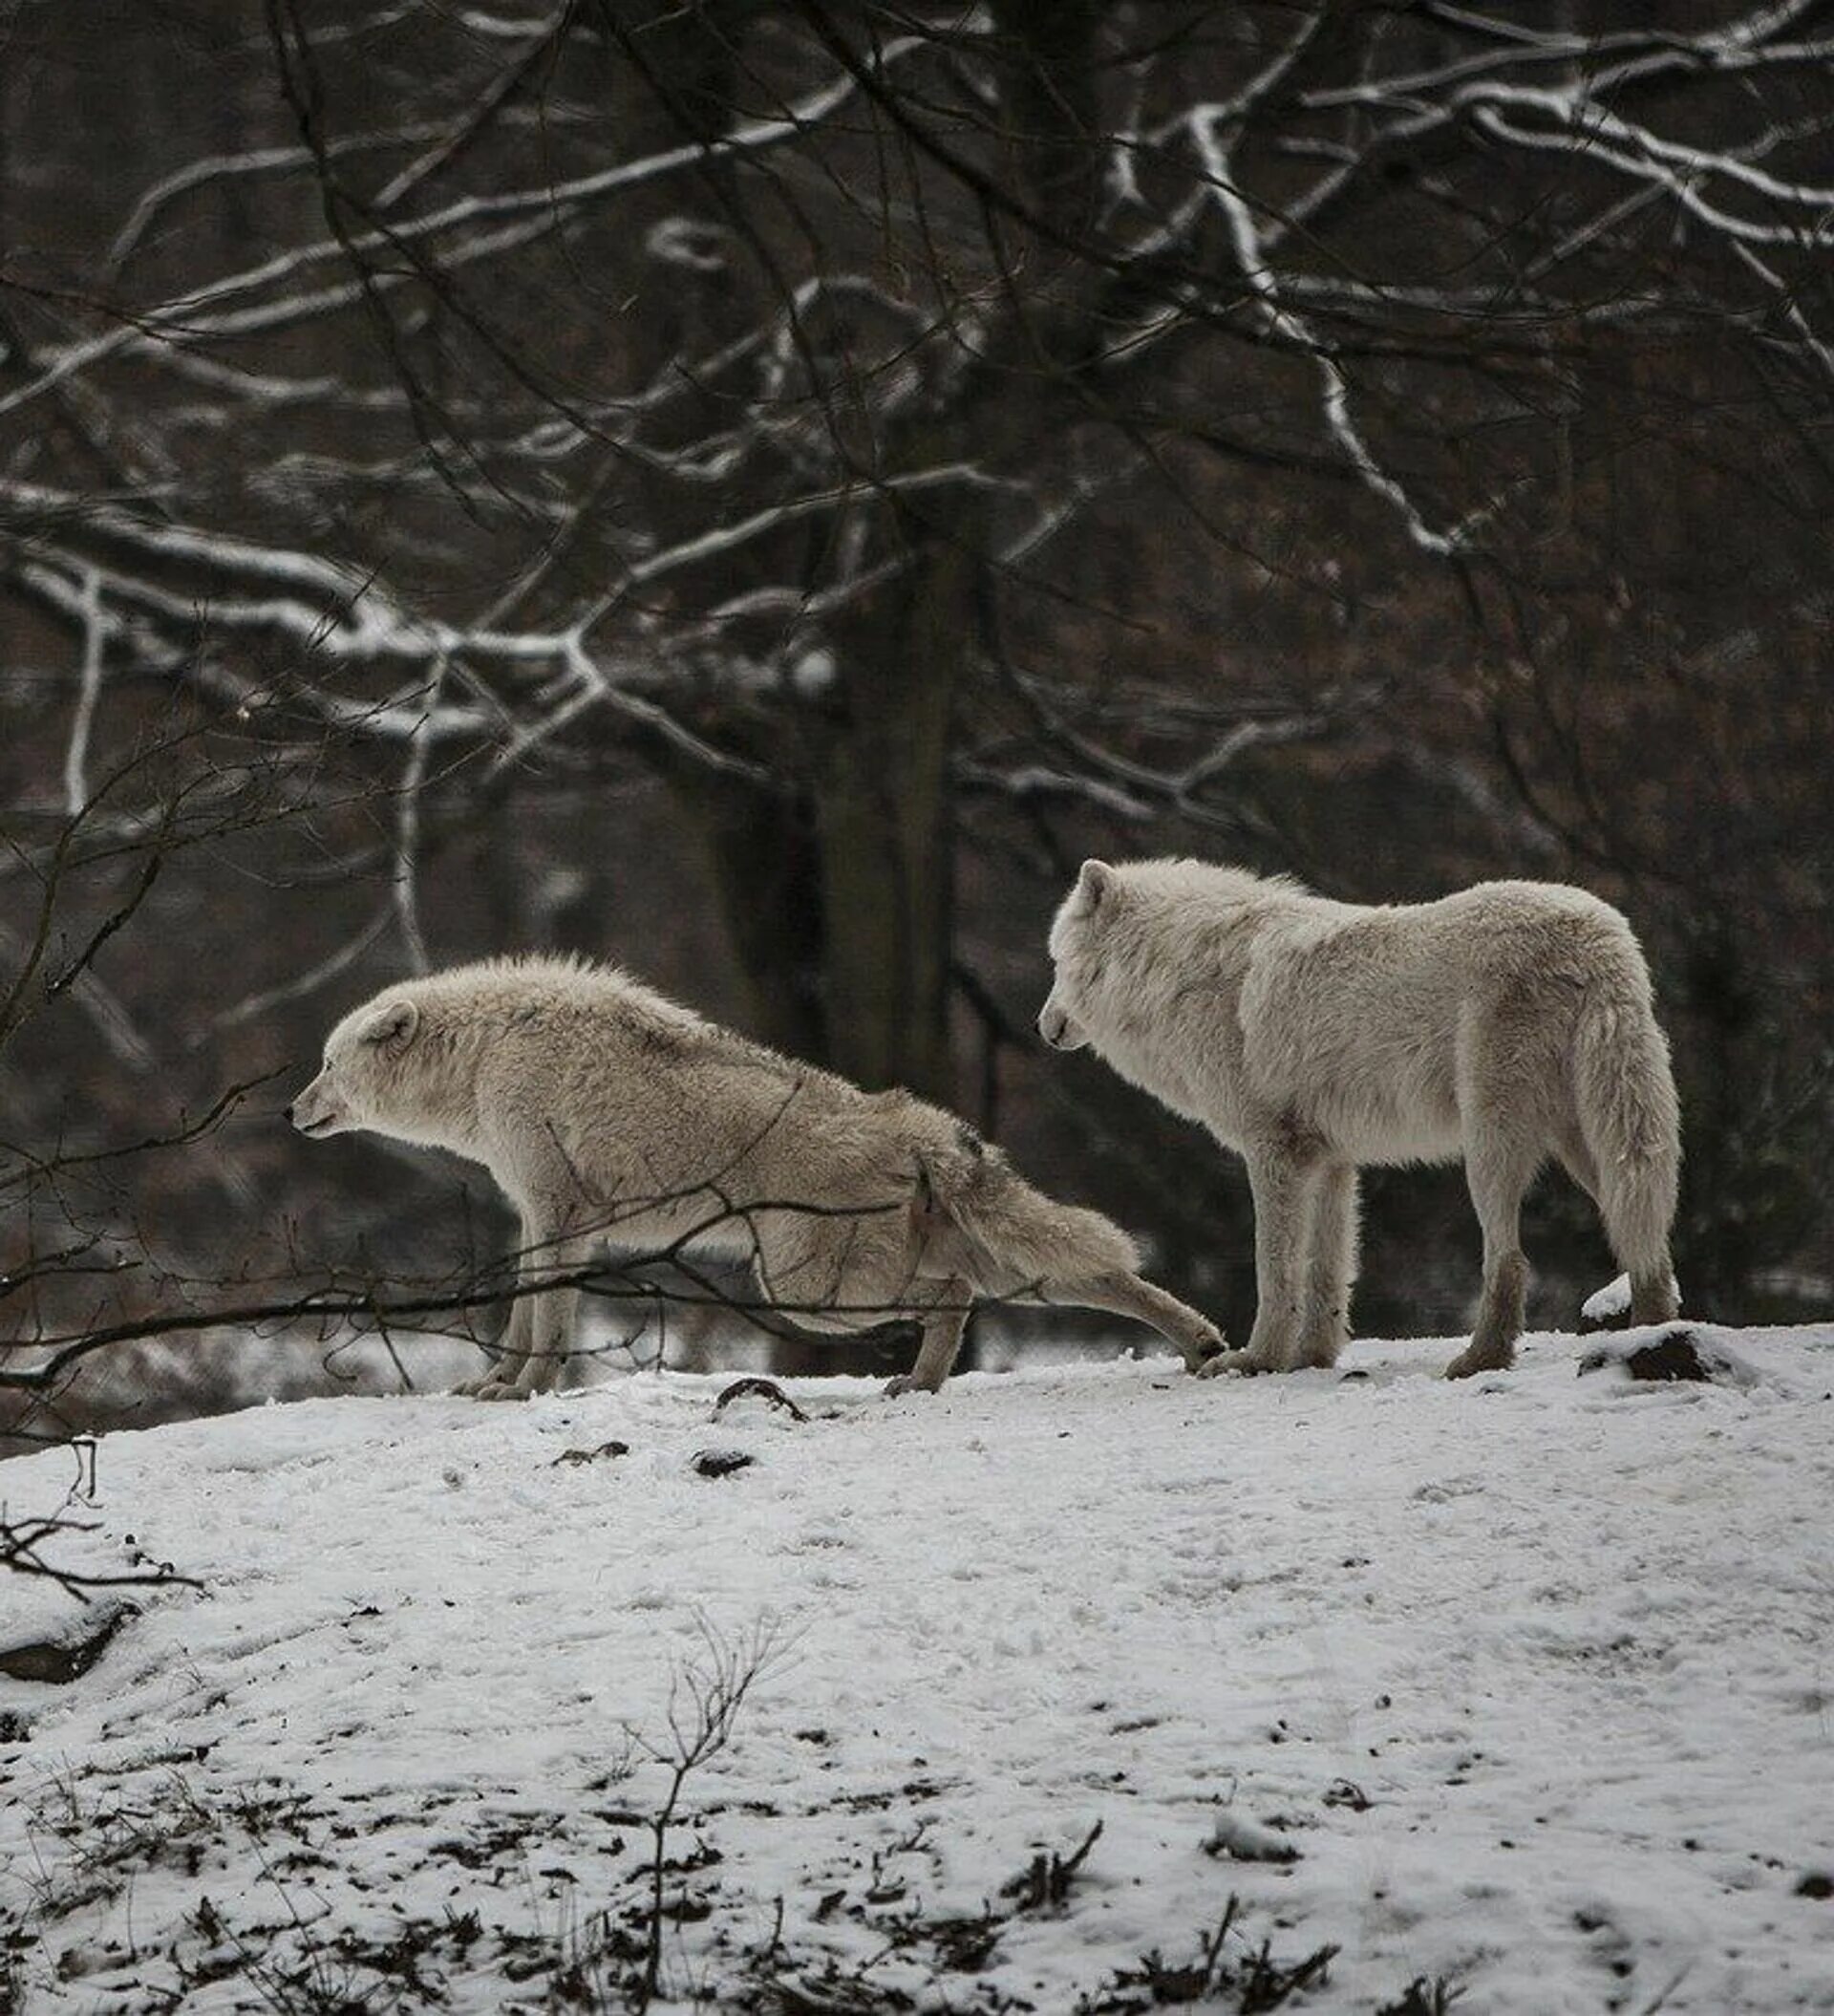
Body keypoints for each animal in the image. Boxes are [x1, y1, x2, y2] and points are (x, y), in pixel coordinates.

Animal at [286, 951, 1225, 1395]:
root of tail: (923, 1124)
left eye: (327, 1064)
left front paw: (524, 1392)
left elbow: (543, 1324)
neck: (490, 1053)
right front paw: (495, 1383)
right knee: (1102, 1281)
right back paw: (1203, 1347)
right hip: (985, 1273)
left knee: (953, 1296)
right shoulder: (545, 1220)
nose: (292, 1111)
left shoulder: (554, 1213)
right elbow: (523, 1315)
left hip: (807, 1289)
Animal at [1032, 858, 1676, 1379]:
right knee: (1644, 1235)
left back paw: (1479, 1360)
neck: (1184, 975)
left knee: (1511, 1260)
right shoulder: (1331, 1161)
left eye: (1059, 962)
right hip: (1593, 1144)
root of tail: (1601, 936)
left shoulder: (1272, 1152)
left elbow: (1274, 1270)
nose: (1044, 1026)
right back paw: (1650, 1335)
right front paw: (1311, 1359)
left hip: (1492, 1146)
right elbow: (1327, 1272)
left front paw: (1258, 1358)